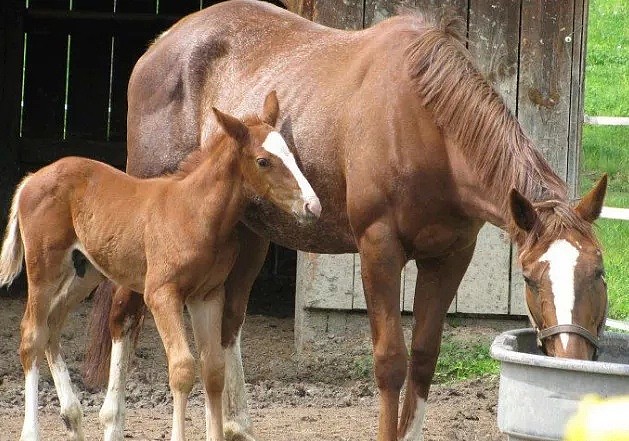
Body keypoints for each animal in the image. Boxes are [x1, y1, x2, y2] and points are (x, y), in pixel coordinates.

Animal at [0, 92, 322, 440]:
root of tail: (32, 178)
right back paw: (32, 431)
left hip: (85, 270)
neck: (195, 212)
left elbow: (213, 369)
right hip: (44, 267)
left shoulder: (206, 295)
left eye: (292, 154)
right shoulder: (161, 294)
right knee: (32, 334)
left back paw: (73, 418)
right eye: (263, 161)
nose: (312, 206)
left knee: (53, 322)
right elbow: (182, 368)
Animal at [84, 1, 608, 438]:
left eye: (600, 272)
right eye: (531, 279)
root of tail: (161, 46)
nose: (573, 360)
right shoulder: (379, 249)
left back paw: (236, 424)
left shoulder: (450, 256)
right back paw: (112, 421)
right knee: (125, 313)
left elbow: (424, 358)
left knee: (227, 324)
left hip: (246, 234)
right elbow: (391, 361)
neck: (424, 127)